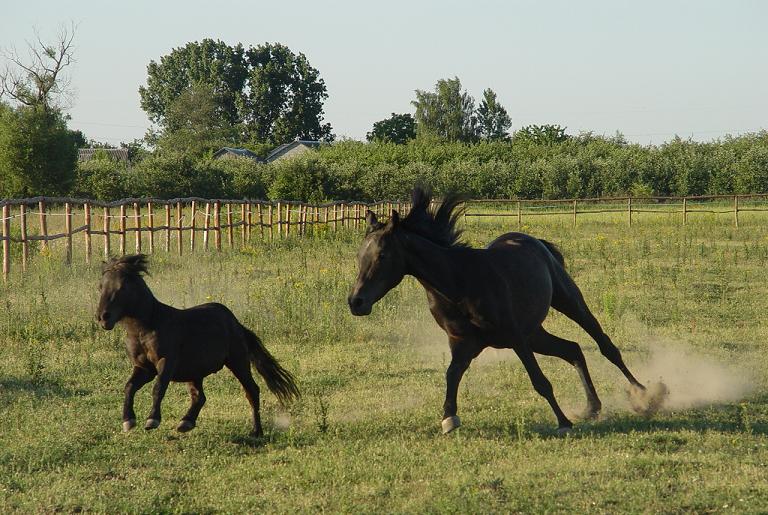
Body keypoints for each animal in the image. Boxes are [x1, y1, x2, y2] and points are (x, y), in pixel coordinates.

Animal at [97, 254, 300, 436]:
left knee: (252, 391)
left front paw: (152, 420)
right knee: (199, 397)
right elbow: (129, 387)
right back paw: (185, 423)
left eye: (122, 287)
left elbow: (158, 388)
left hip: (238, 362)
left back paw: (256, 431)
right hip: (194, 371)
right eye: (100, 287)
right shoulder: (144, 368)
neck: (146, 327)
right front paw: (128, 421)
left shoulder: (166, 361)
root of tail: (235, 323)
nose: (102, 317)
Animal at [348, 187, 656, 434]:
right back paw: (592, 406)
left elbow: (540, 381)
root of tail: (538, 242)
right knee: (573, 349)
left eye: (382, 255)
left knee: (605, 346)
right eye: (360, 255)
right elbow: (451, 374)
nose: (356, 302)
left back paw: (644, 396)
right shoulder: (464, 343)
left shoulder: (515, 337)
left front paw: (563, 423)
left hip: (568, 302)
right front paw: (449, 419)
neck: (458, 282)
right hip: (535, 333)